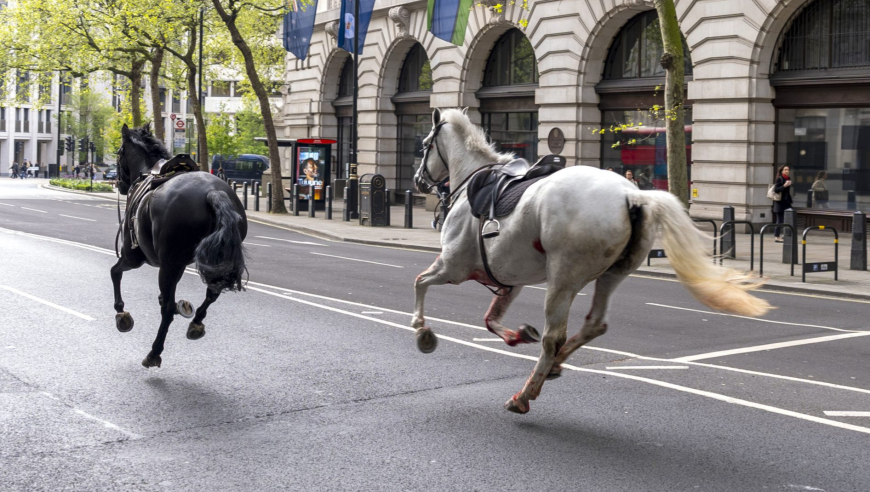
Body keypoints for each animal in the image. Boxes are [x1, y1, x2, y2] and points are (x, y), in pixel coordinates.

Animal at [113, 125, 249, 368]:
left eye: (119, 153)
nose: (118, 183)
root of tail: (212, 192)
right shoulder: (177, 264)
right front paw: (183, 306)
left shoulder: (134, 257)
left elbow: (115, 272)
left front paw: (121, 313)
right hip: (212, 260)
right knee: (212, 293)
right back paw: (196, 323)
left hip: (165, 262)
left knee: (166, 310)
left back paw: (154, 352)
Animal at [412, 108, 772, 416]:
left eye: (425, 144)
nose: (417, 181)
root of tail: (633, 194)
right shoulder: (508, 278)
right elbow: (490, 319)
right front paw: (516, 335)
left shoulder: (453, 266)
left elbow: (420, 282)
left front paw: (421, 329)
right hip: (612, 273)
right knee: (594, 324)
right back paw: (555, 365)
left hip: (562, 278)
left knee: (554, 337)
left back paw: (525, 394)